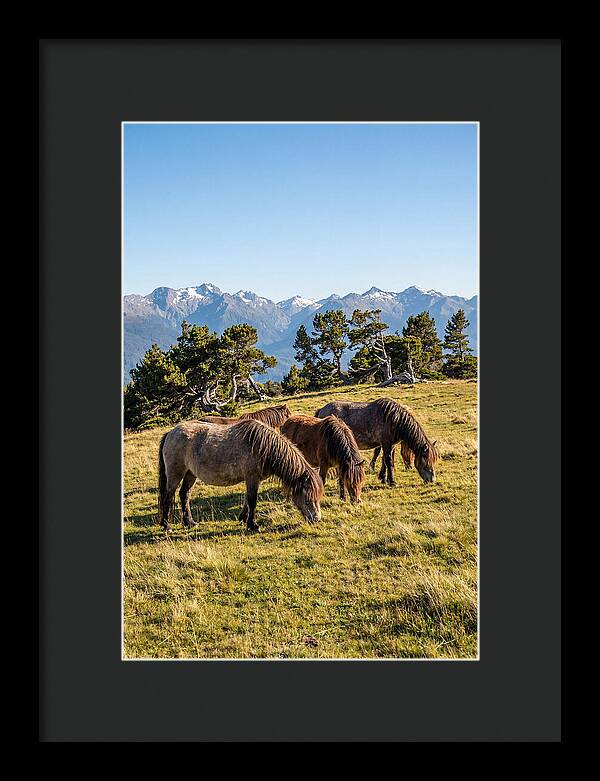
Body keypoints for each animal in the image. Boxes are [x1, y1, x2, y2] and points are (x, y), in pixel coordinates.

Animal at [158, 418, 323, 532]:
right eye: (308, 497)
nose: (316, 519)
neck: (263, 447)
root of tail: (170, 433)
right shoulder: (252, 478)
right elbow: (252, 500)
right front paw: (253, 525)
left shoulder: (252, 480)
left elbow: (246, 500)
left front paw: (243, 518)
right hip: (175, 474)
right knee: (168, 496)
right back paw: (166, 526)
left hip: (190, 474)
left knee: (184, 495)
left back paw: (189, 522)